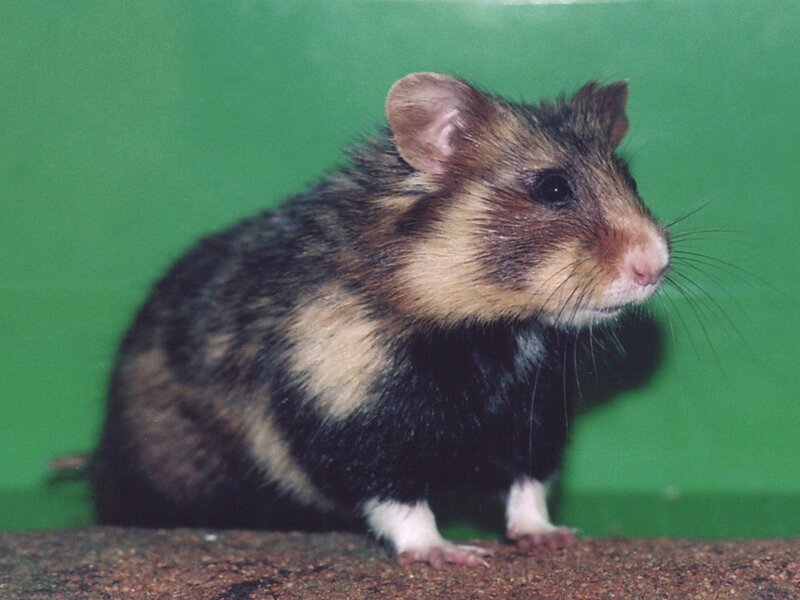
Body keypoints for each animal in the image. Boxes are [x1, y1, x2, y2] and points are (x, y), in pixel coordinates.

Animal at [90, 72, 670, 567]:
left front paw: (552, 537)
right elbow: (397, 497)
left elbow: (527, 486)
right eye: (552, 187)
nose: (656, 266)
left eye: (630, 178)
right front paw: (450, 554)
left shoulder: (536, 412)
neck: (494, 329)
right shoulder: (347, 413)